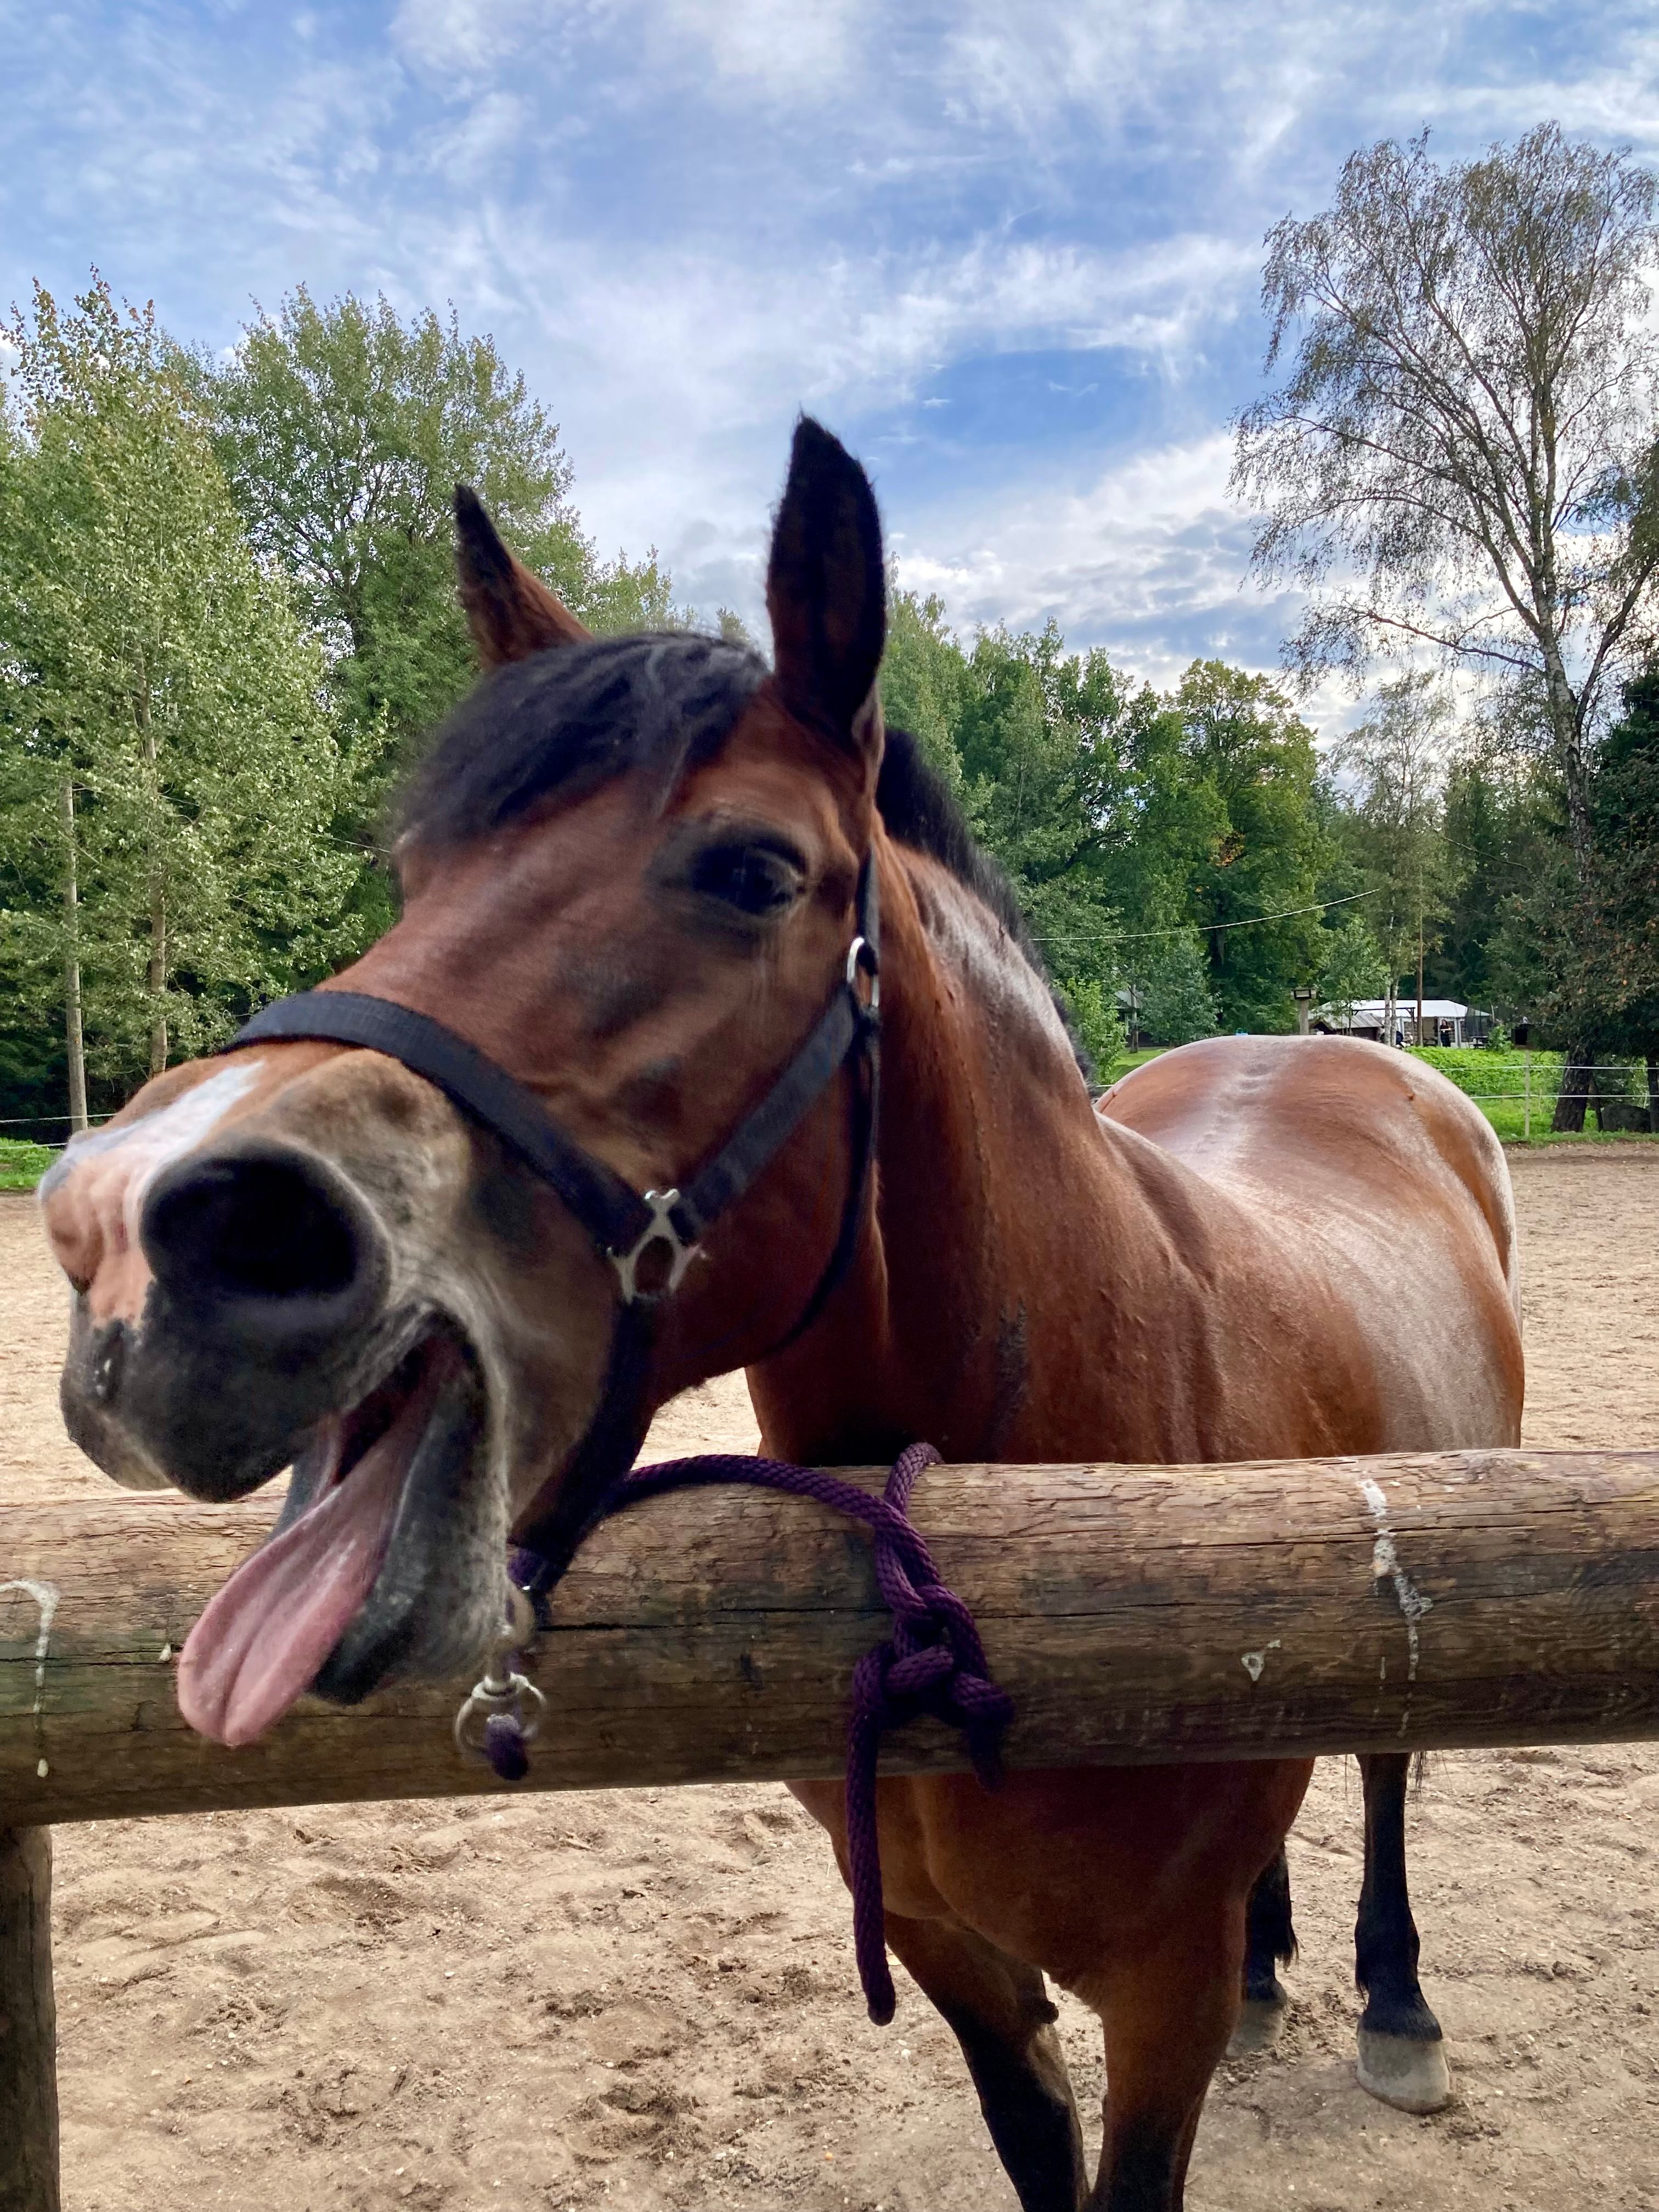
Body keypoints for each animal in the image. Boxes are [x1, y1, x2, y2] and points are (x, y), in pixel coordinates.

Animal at [39, 422, 1531, 2203]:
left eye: (754, 871)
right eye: (415, 875)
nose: (154, 1237)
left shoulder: (1149, 2006)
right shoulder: (962, 1968)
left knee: (1382, 1774)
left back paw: (1397, 2002)